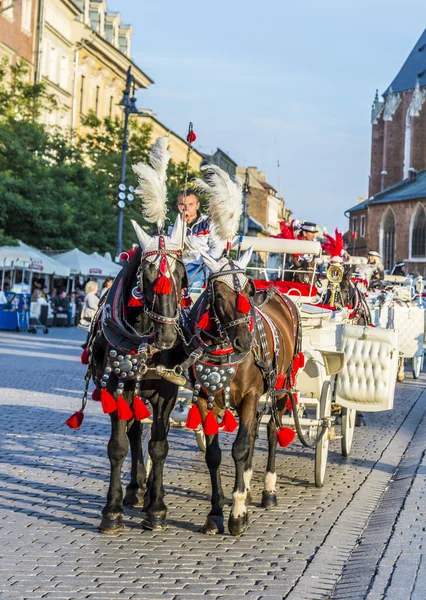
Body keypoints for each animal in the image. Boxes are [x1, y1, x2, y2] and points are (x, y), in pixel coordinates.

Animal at [186, 251, 300, 536]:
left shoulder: (250, 395)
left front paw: (238, 514)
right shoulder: (204, 398)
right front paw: (215, 513)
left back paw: (268, 490)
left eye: (249, 291)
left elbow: (239, 448)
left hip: (282, 385)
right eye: (218, 294)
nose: (245, 342)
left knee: (272, 430)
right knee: (253, 431)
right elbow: (213, 454)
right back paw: (247, 485)